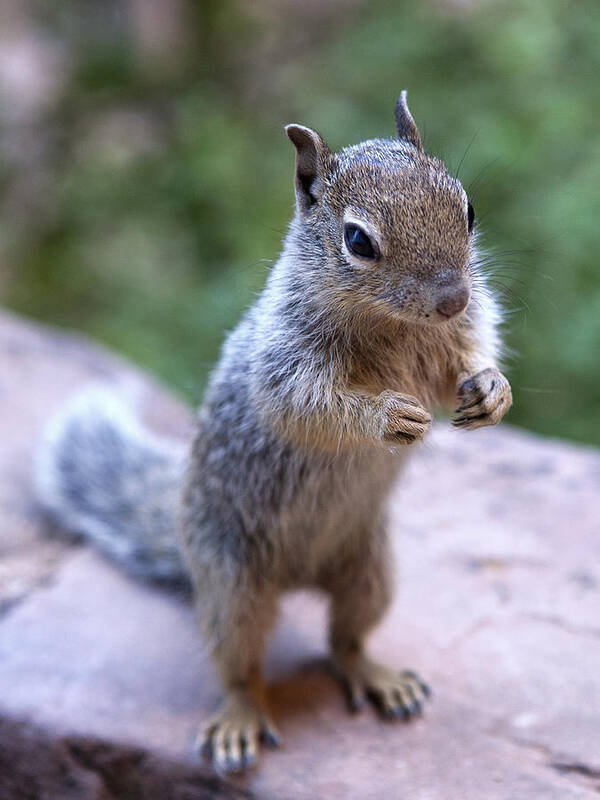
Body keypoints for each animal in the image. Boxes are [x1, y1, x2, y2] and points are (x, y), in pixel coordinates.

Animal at [34, 92, 510, 776]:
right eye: (358, 240)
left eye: (467, 208)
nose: (452, 298)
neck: (392, 325)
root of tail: (297, 578)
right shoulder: (285, 359)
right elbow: (305, 406)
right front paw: (388, 418)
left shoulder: (457, 335)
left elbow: (467, 360)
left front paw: (491, 390)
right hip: (233, 587)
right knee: (241, 666)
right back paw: (239, 719)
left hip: (369, 572)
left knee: (346, 640)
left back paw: (379, 676)